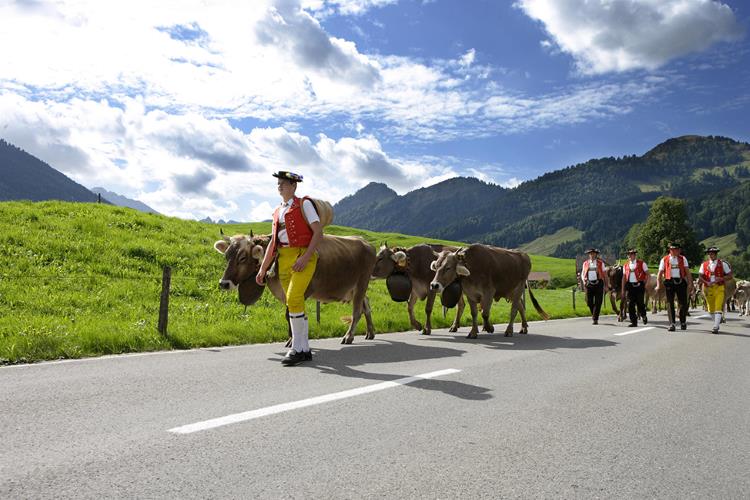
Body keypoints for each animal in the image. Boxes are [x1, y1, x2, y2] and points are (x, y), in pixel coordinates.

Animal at [216, 233, 376, 344]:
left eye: (242, 258)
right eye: (226, 256)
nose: (224, 283)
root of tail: (365, 242)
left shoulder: (299, 292)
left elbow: (291, 315)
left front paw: (292, 340)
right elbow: (288, 317)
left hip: (361, 283)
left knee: (357, 311)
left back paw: (348, 336)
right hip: (354, 289)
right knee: (366, 305)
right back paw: (370, 332)